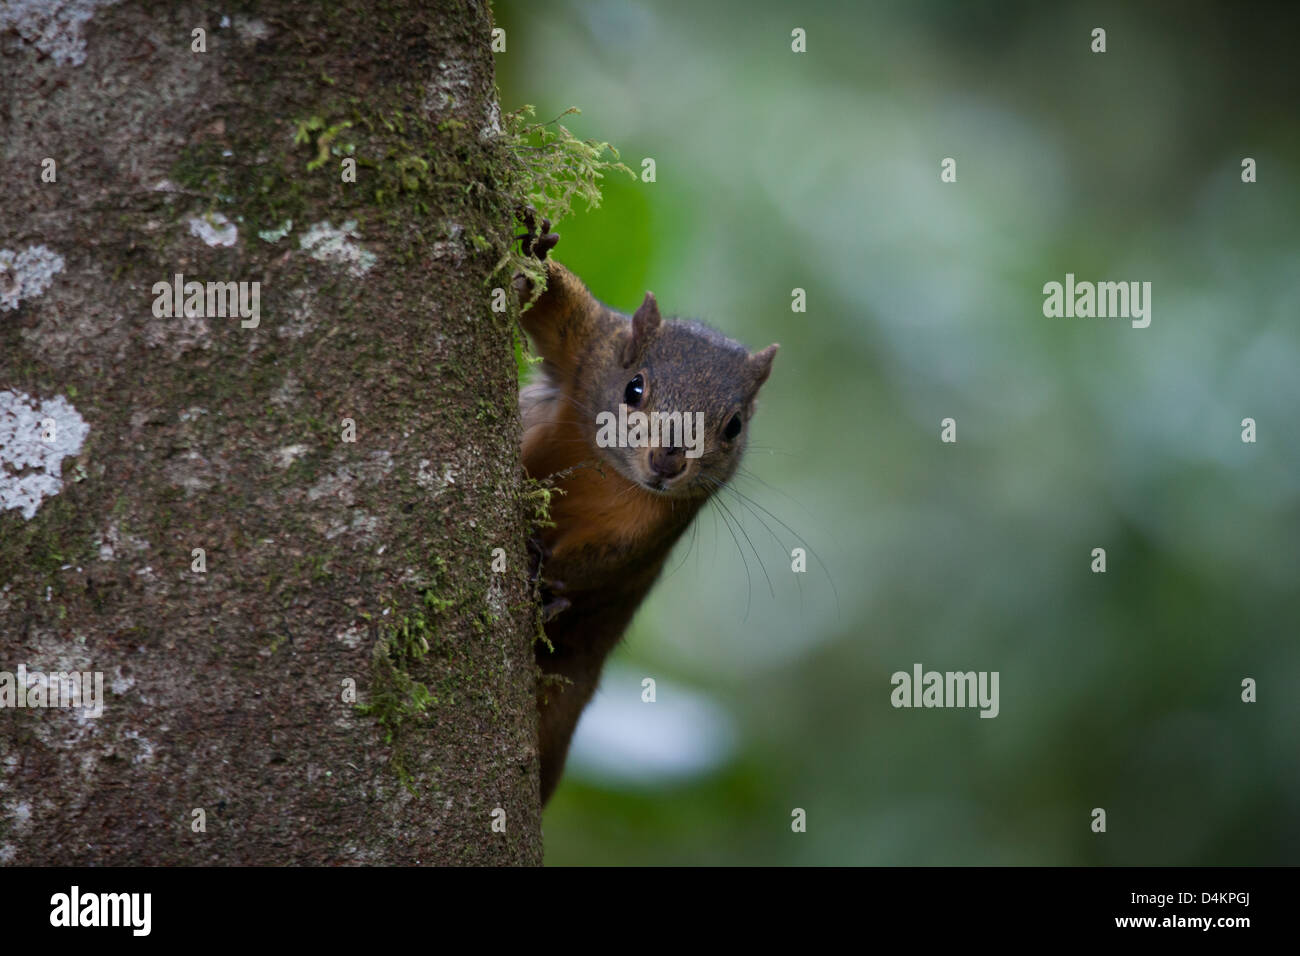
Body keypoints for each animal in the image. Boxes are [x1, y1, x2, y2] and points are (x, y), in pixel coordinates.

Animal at [512, 213, 774, 806]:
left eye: (733, 426)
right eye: (634, 388)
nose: (668, 460)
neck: (611, 471)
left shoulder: (655, 525)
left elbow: (607, 558)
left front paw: (549, 576)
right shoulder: (590, 349)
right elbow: (555, 310)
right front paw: (537, 254)